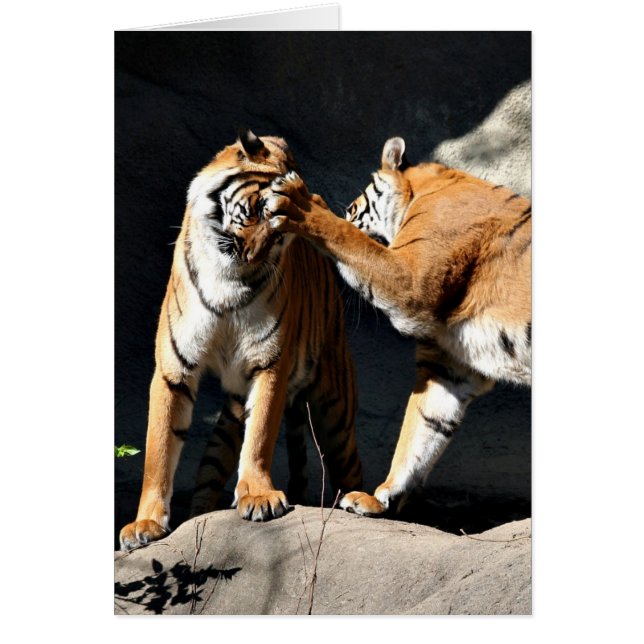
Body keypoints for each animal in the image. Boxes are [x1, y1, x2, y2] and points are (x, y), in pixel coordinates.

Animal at [119, 129, 363, 551]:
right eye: (257, 211)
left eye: (281, 232)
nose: (251, 255)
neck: (227, 282)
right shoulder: (173, 368)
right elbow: (158, 449)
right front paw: (145, 523)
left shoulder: (270, 363)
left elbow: (260, 433)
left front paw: (258, 496)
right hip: (234, 404)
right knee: (213, 462)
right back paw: (199, 515)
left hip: (334, 405)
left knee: (351, 464)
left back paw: (364, 503)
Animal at [262, 136, 531, 518]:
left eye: (351, 208)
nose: (347, 211)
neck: (422, 191)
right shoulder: (449, 366)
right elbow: (421, 430)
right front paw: (381, 498)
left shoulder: (410, 279)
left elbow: (352, 242)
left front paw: (300, 205)